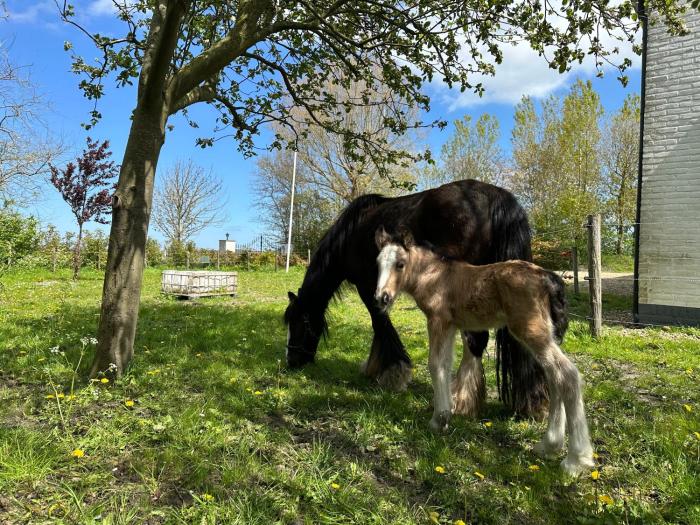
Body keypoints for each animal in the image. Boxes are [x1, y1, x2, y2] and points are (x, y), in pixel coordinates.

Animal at [284, 179, 548, 418]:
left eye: (300, 324)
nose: (292, 362)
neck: (351, 235)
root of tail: (495, 198)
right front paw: (374, 367)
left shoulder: (366, 287)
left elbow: (379, 323)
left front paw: (392, 373)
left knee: (477, 339)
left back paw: (460, 400)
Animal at [374, 228, 595, 475]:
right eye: (378, 263)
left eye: (400, 264)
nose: (381, 298)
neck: (435, 276)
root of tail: (547, 277)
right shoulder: (451, 326)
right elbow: (445, 365)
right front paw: (446, 415)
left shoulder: (438, 321)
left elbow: (435, 364)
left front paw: (439, 419)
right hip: (543, 334)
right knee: (554, 377)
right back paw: (549, 445)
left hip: (531, 331)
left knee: (567, 374)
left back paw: (576, 459)